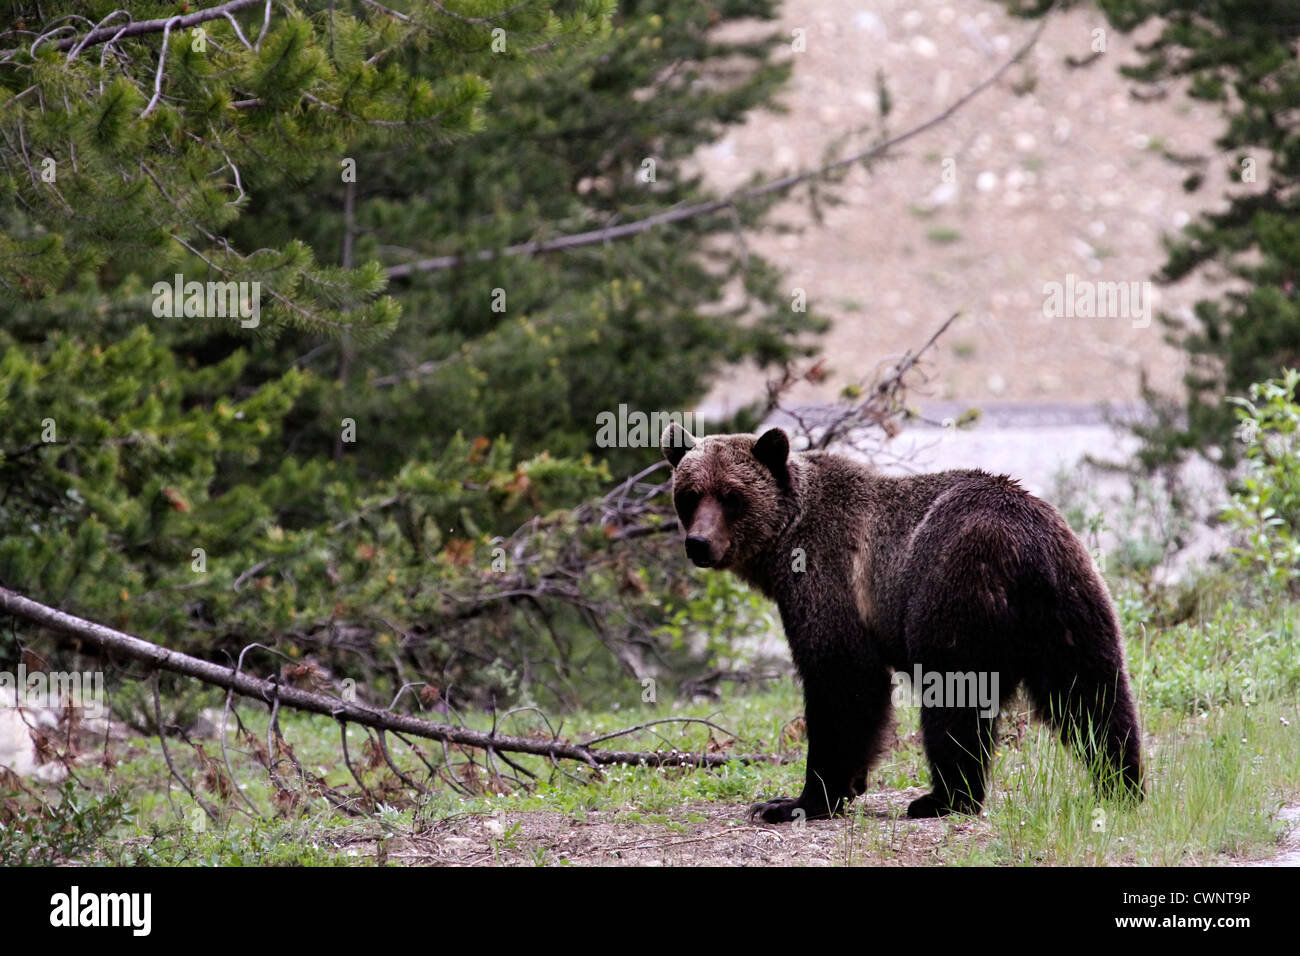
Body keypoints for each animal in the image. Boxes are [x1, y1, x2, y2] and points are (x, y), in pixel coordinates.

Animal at [665, 426, 1144, 822]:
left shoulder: (827, 577)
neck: (782, 542)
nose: (699, 543)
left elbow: (842, 681)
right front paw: (844, 786)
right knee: (1096, 695)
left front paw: (798, 801)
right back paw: (1121, 783)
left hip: (954, 588)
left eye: (731, 496)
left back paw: (944, 798)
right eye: (690, 494)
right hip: (1072, 601)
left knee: (955, 698)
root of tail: (1026, 547)